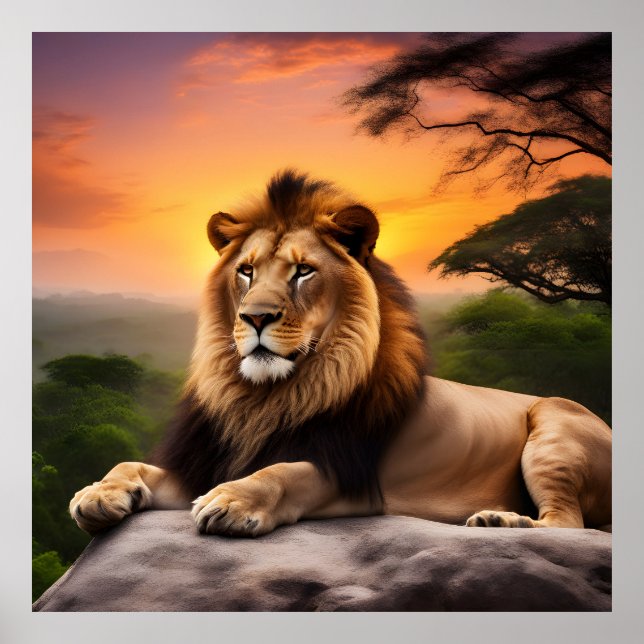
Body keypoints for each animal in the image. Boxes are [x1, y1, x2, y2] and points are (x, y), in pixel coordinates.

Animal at [69, 169, 612, 536]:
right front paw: (98, 493)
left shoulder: (356, 477)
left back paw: (500, 521)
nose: (255, 317)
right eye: (246, 271)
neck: (265, 398)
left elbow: (288, 471)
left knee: (569, 523)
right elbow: (132, 465)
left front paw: (232, 500)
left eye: (303, 271)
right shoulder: (204, 461)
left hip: (554, 427)